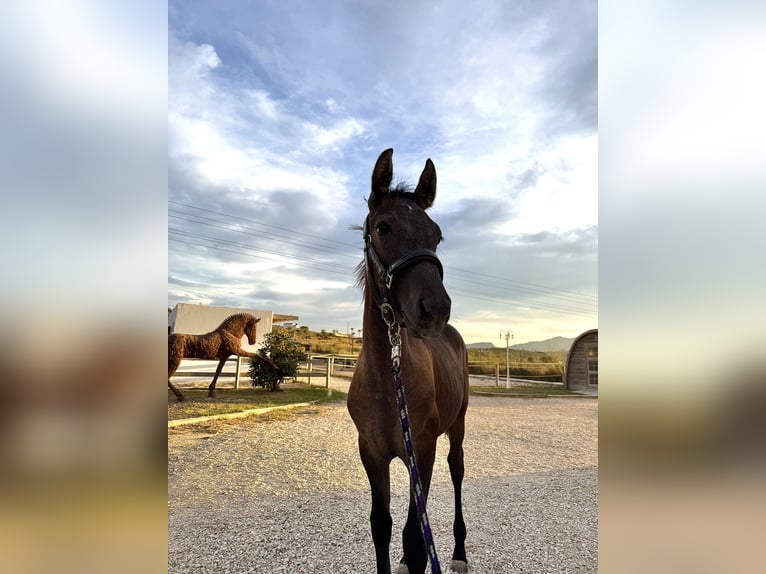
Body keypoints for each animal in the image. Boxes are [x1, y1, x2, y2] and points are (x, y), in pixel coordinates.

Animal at [348, 149, 469, 574]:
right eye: (383, 227)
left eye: (436, 235)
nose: (435, 310)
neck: (387, 381)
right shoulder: (371, 452)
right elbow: (382, 527)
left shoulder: (424, 448)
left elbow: (416, 540)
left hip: (457, 427)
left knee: (457, 471)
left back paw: (460, 551)